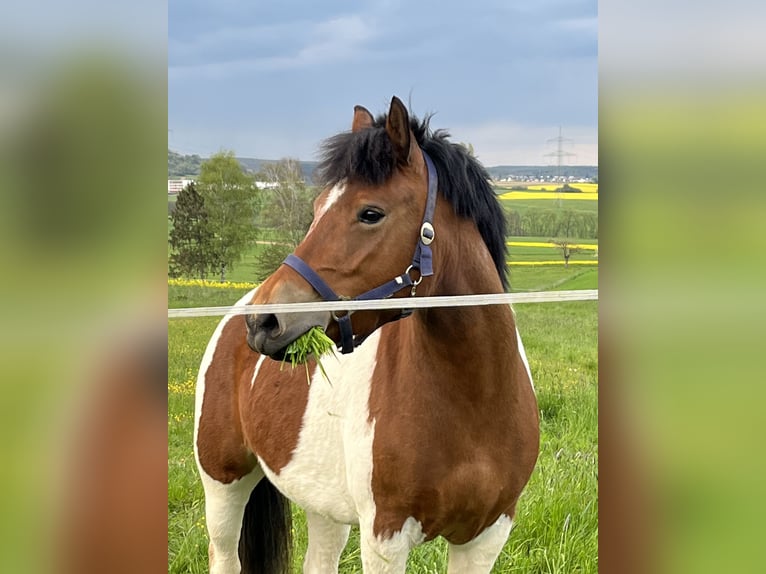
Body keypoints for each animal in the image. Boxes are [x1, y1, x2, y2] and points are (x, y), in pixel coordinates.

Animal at [194, 97, 540, 572]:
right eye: (317, 208)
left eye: (370, 213)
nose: (264, 322)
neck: (474, 404)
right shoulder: (385, 537)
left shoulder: (486, 537)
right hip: (223, 485)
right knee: (225, 554)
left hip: (322, 507)